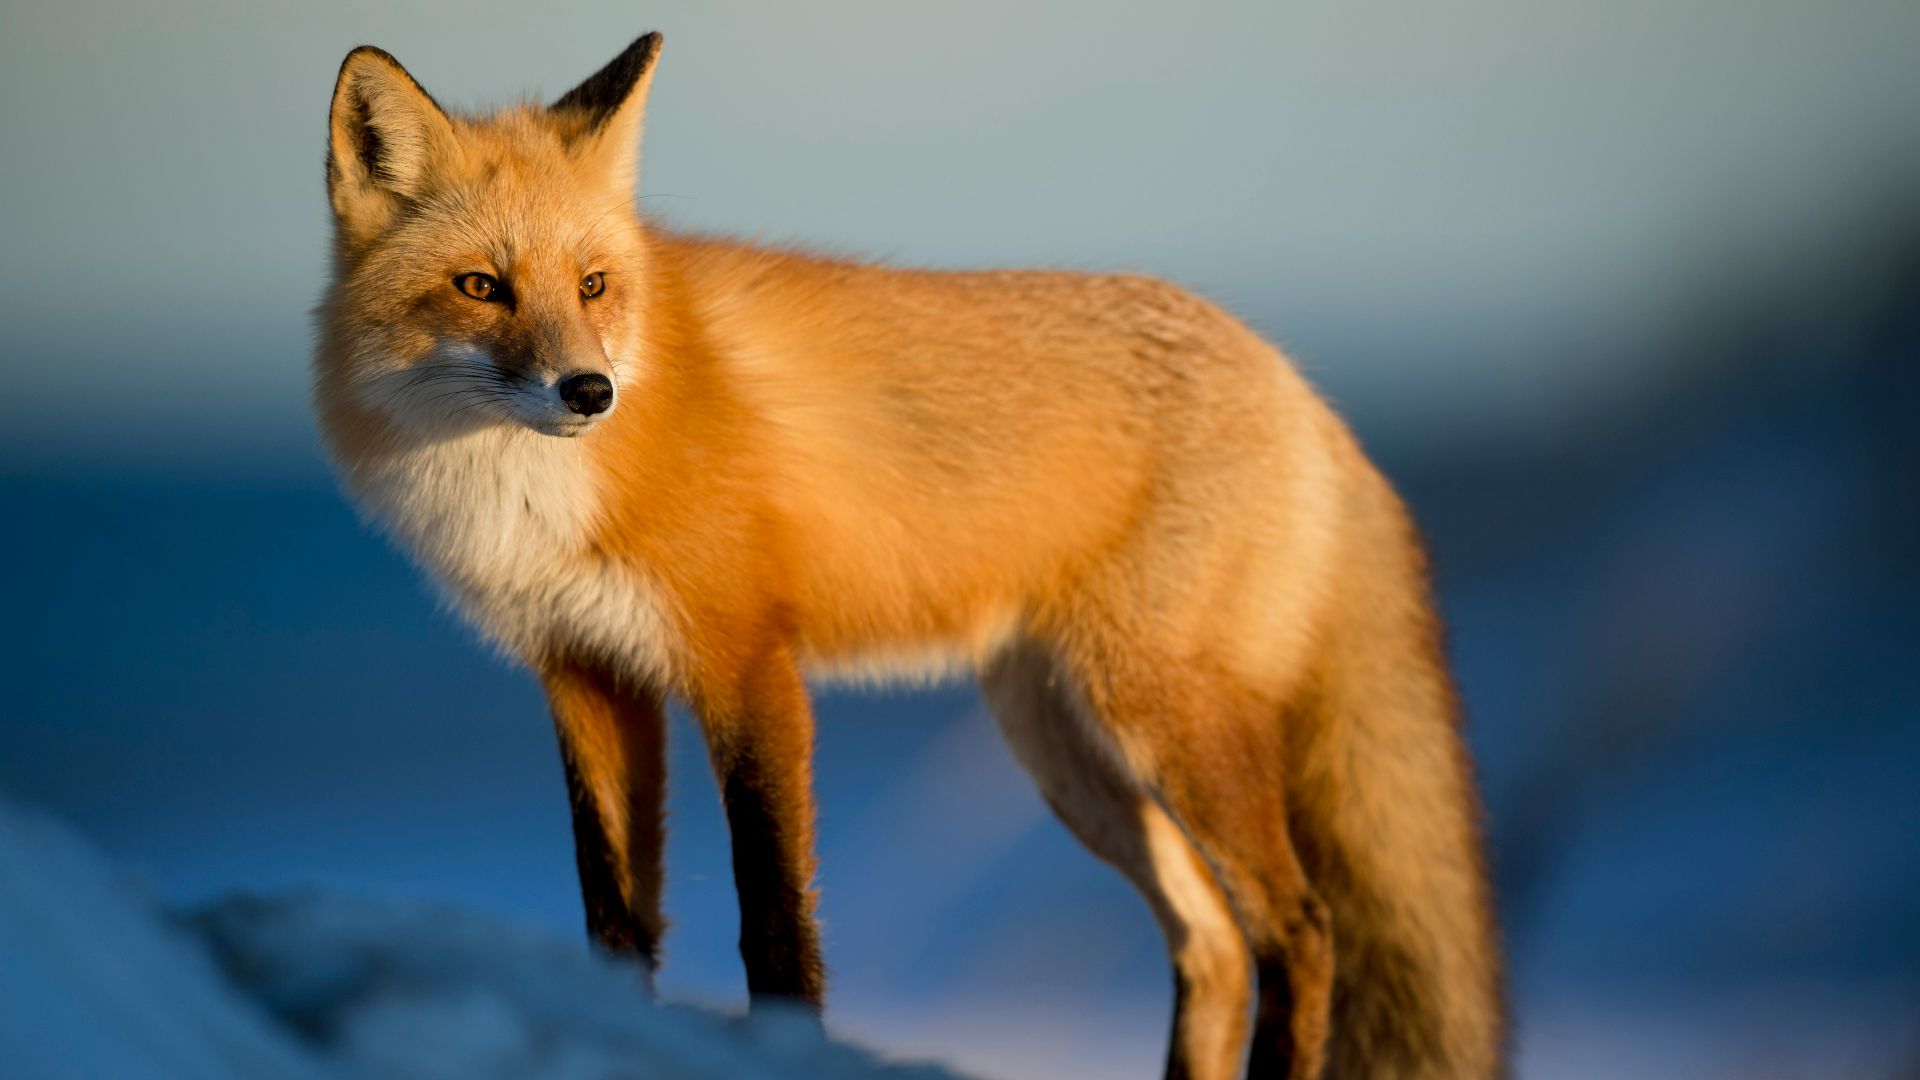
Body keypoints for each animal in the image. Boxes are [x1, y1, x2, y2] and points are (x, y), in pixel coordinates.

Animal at [314, 31, 1505, 1080]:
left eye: (595, 286)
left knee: (1299, 931)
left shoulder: (748, 665)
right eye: (482, 287)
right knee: (1212, 943)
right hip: (1068, 751)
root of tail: (1301, 387)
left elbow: (774, 921)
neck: (530, 497)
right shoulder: (586, 674)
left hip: (1161, 721)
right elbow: (614, 920)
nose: (589, 391)